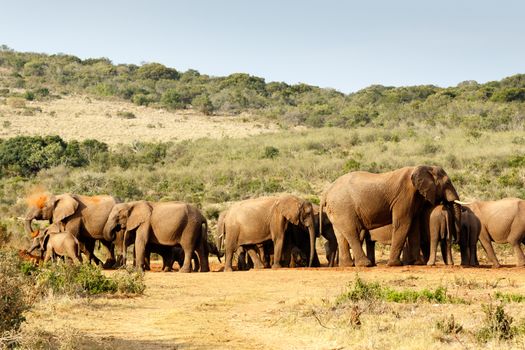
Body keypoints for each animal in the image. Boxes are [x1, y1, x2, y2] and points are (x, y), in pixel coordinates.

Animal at [318, 165, 460, 266]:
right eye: (448, 183)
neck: (423, 167)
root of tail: (327, 192)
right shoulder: (403, 196)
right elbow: (403, 223)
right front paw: (395, 264)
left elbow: (413, 226)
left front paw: (417, 263)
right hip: (343, 207)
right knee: (352, 231)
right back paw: (365, 264)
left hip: (337, 209)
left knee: (341, 235)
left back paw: (347, 265)